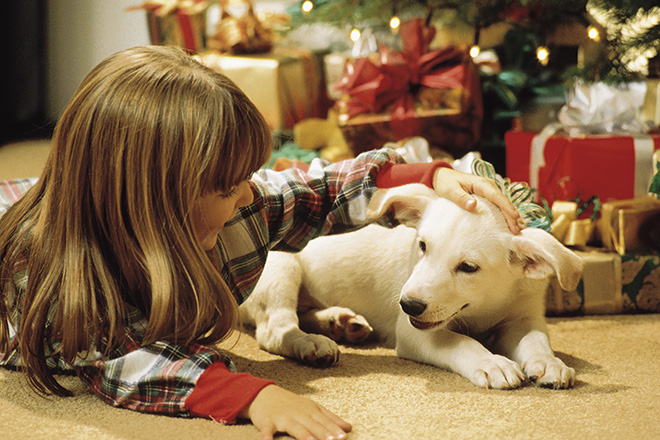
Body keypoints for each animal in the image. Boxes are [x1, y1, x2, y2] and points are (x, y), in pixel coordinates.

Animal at [240, 184, 580, 390]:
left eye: (468, 268)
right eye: (422, 245)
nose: (408, 305)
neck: (485, 307)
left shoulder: (523, 317)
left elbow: (536, 339)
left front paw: (549, 362)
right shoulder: (414, 332)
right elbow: (460, 342)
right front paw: (491, 361)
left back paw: (341, 323)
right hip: (281, 267)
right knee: (275, 327)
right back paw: (311, 343)